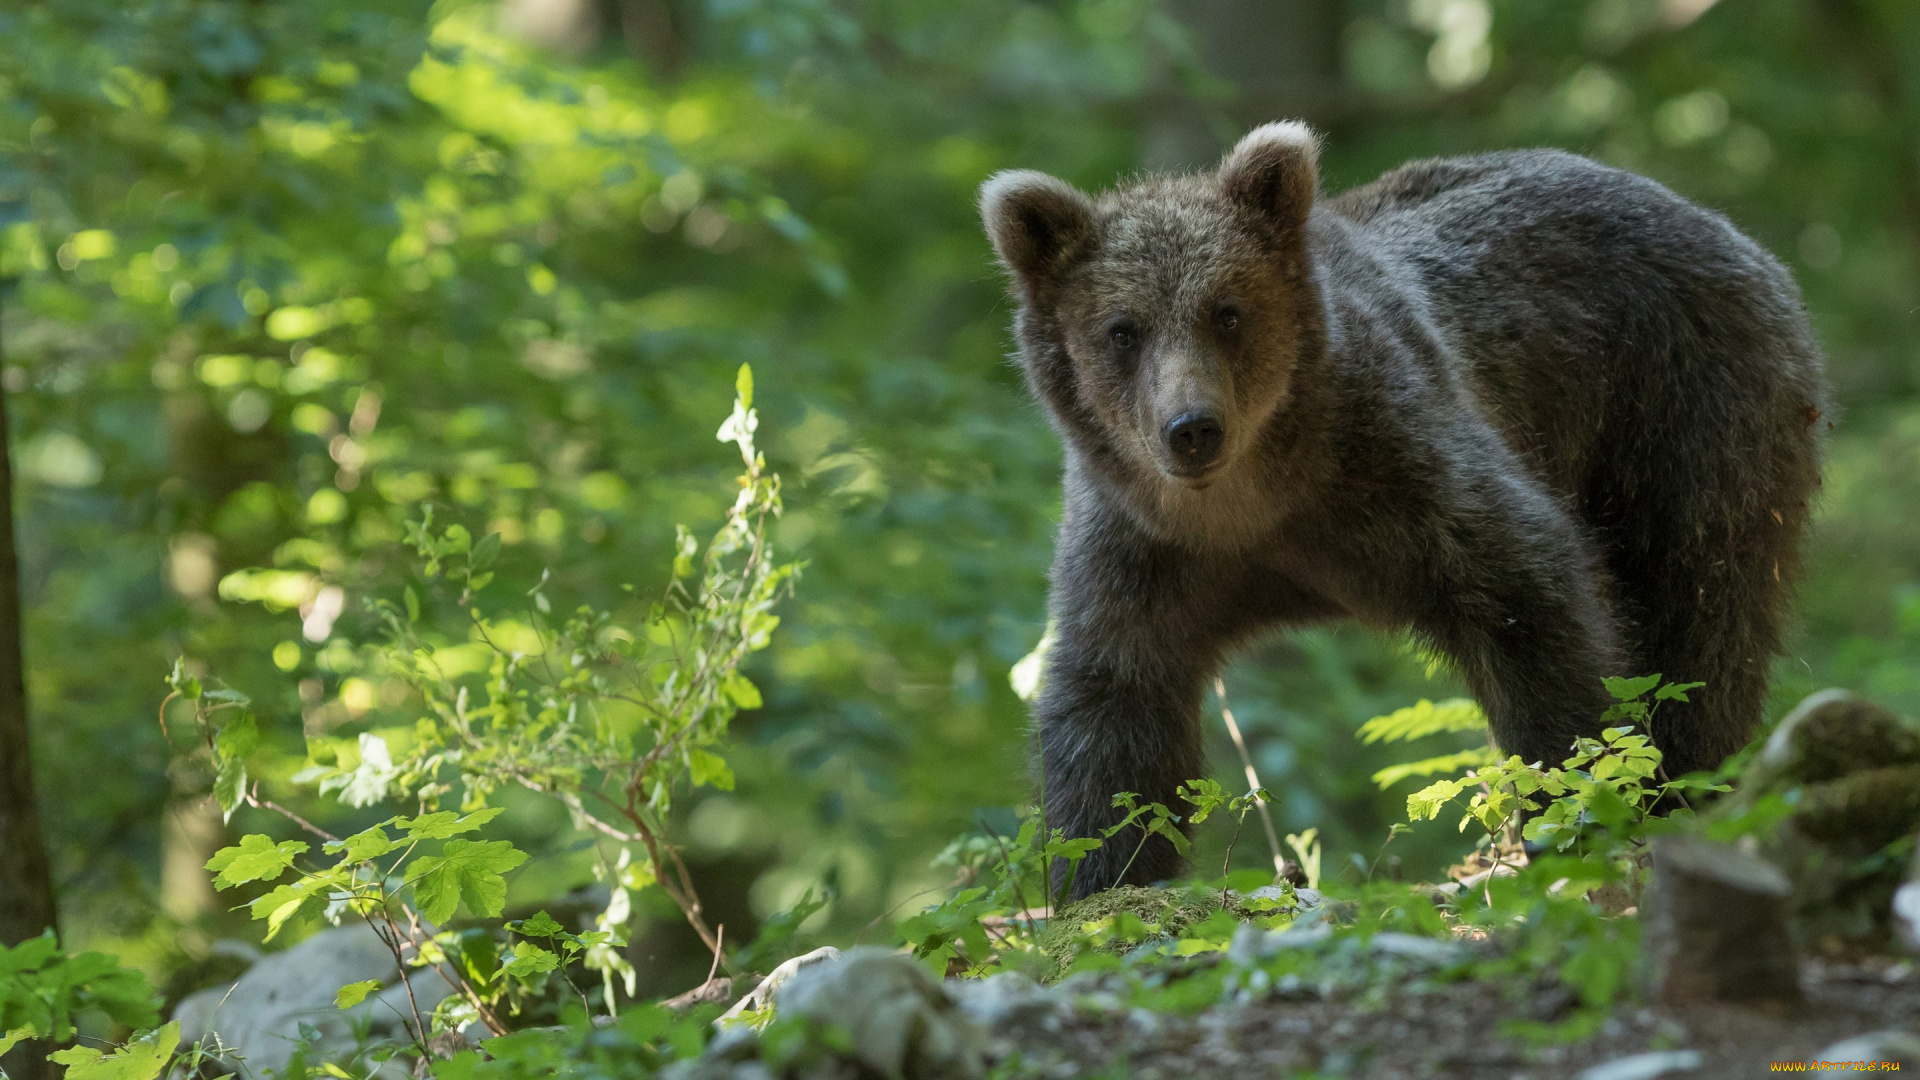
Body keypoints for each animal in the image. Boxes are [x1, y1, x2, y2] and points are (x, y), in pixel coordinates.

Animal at [990, 122, 1827, 895]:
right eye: (1121, 330)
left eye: (1226, 311)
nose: (1192, 428)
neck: (1261, 504)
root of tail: (1716, 223)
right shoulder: (1145, 547)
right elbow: (1114, 704)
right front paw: (1102, 875)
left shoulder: (1404, 467)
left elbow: (1531, 598)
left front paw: (1577, 804)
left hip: (1683, 404)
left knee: (1700, 615)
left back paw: (1695, 782)